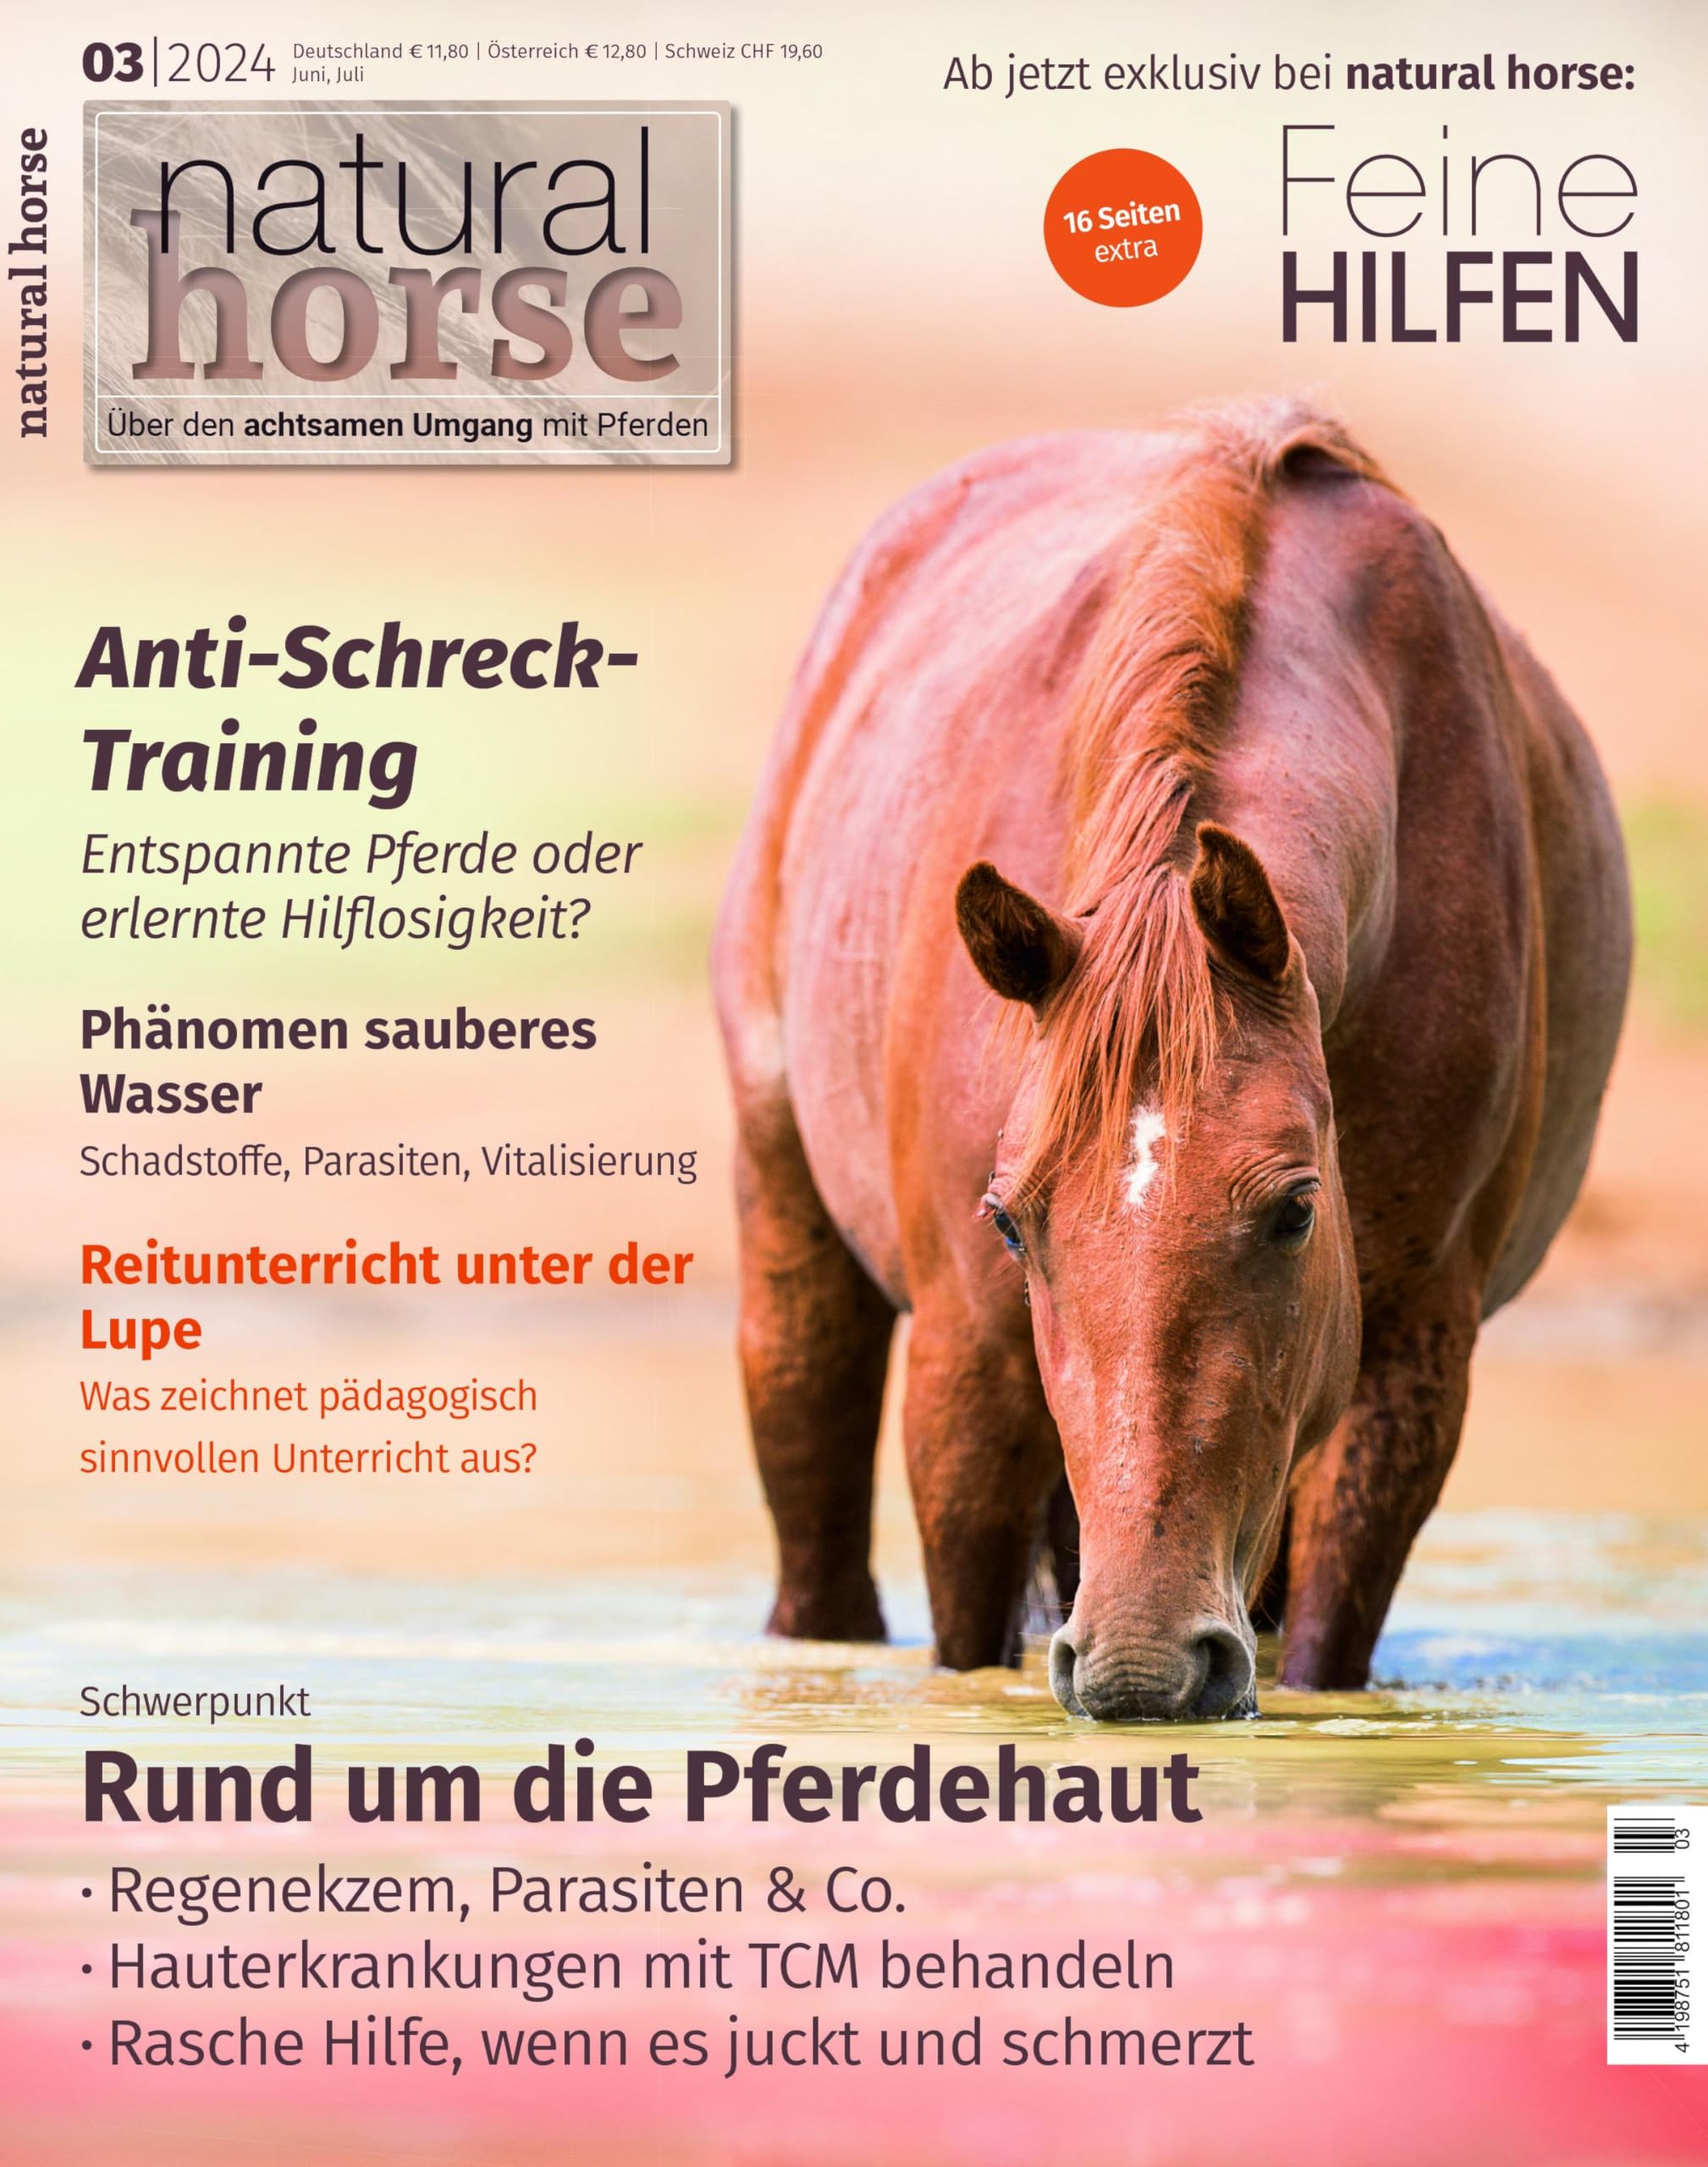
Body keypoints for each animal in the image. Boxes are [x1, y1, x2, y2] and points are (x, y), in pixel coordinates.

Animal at [713, 400, 1630, 1721]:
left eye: (1296, 1209)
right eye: (1009, 1219)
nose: (1142, 1668)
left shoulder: (1405, 1364)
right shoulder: (964, 1360)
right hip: (793, 1254)